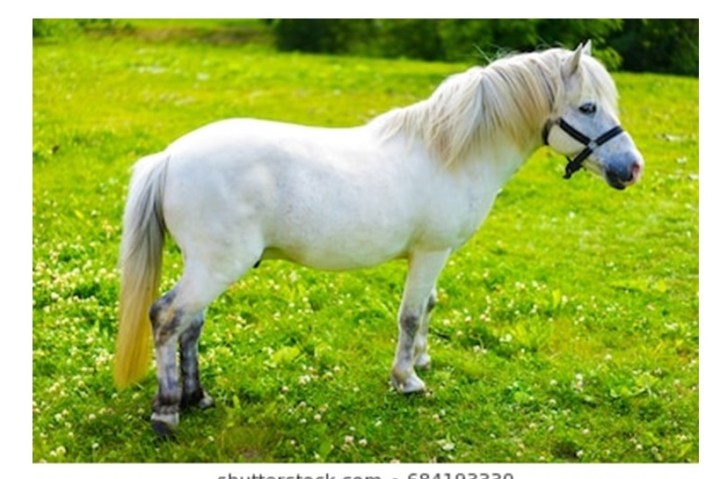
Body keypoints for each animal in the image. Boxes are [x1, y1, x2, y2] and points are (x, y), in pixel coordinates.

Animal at [114, 41, 644, 435]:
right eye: (588, 107)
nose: (633, 168)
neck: (449, 153)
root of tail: (169, 157)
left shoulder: (434, 255)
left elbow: (428, 306)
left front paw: (422, 360)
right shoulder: (431, 252)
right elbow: (410, 315)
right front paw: (406, 379)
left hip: (209, 268)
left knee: (190, 325)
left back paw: (197, 396)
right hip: (216, 267)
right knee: (167, 317)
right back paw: (167, 411)